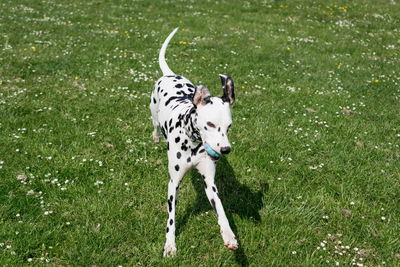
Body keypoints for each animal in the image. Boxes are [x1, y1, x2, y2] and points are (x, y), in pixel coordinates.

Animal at [150, 27, 238, 258]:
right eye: (209, 124)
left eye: (229, 126)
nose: (225, 149)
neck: (192, 140)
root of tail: (170, 74)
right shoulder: (173, 184)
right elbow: (171, 219)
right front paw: (170, 245)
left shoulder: (210, 183)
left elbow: (222, 212)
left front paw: (229, 236)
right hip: (153, 113)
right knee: (155, 125)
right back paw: (156, 136)